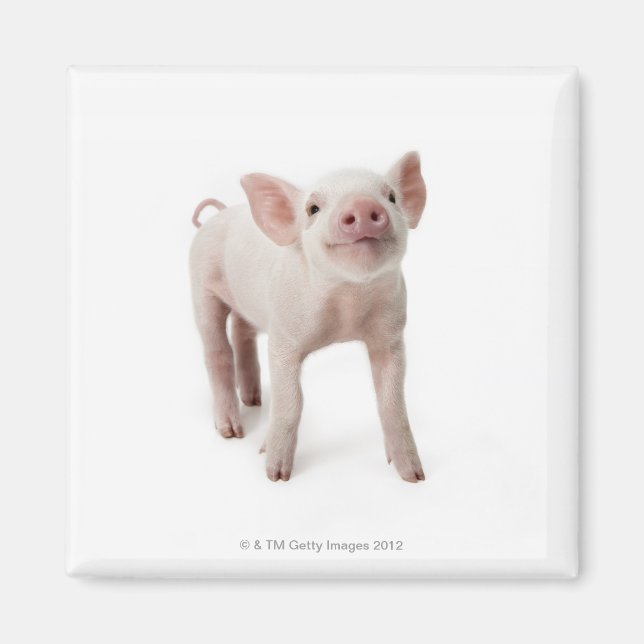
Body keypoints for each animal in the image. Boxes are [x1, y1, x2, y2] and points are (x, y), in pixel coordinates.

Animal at [190, 152, 427, 482]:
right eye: (313, 208)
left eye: (391, 197)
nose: (362, 205)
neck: (347, 304)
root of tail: (219, 214)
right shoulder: (283, 338)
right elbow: (291, 402)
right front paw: (275, 475)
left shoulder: (391, 336)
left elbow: (392, 402)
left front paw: (414, 476)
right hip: (201, 288)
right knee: (217, 353)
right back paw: (232, 432)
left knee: (242, 333)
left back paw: (254, 400)